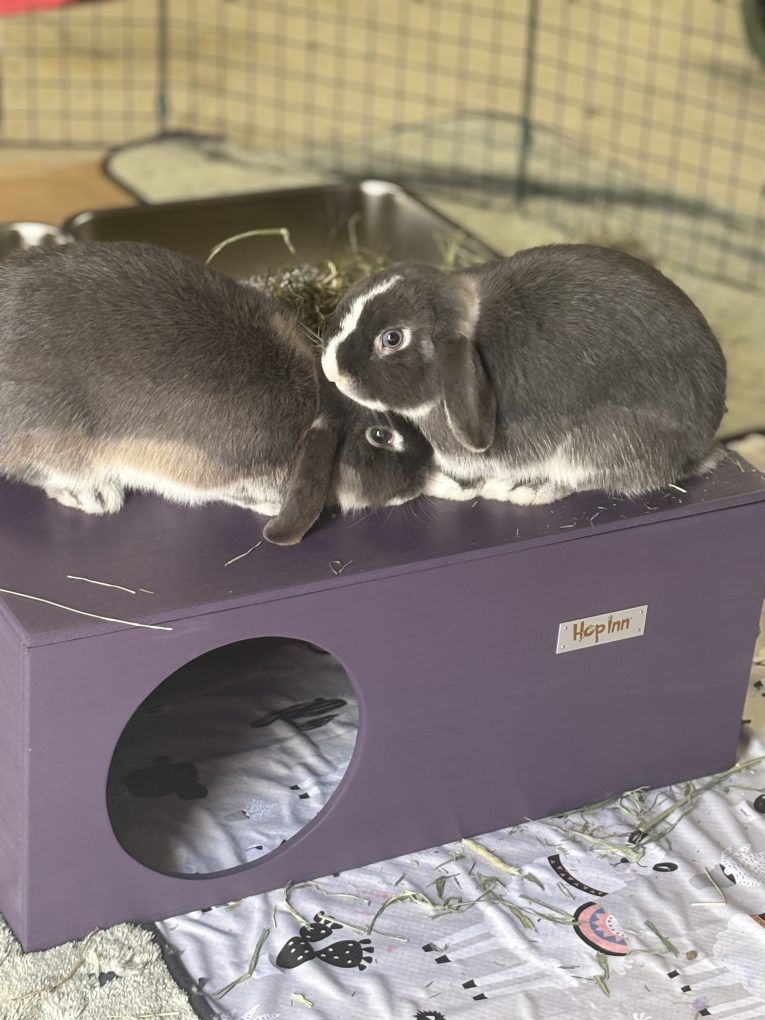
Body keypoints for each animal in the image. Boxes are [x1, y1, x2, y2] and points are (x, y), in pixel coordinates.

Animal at [321, 243, 727, 505]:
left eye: (392, 338)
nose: (331, 369)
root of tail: (700, 446)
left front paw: (444, 486)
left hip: (601, 441)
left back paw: (526, 493)